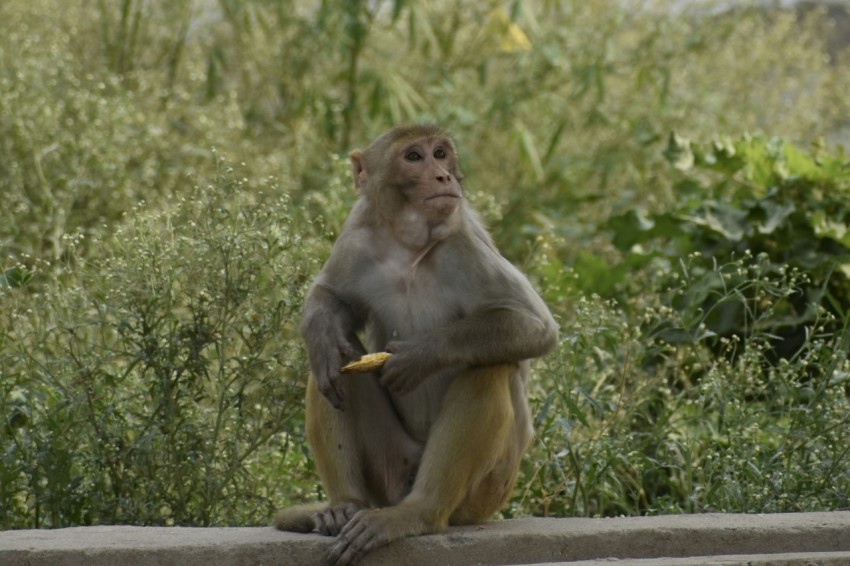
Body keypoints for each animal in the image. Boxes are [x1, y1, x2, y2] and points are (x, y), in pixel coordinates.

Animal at [274, 125, 560, 566]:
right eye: (414, 157)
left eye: (440, 154)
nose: (443, 176)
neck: (409, 246)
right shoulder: (357, 233)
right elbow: (331, 298)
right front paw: (322, 337)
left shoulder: (465, 242)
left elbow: (534, 326)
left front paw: (420, 356)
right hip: (390, 465)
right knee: (335, 368)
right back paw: (344, 504)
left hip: (485, 493)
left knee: (491, 366)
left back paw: (419, 513)